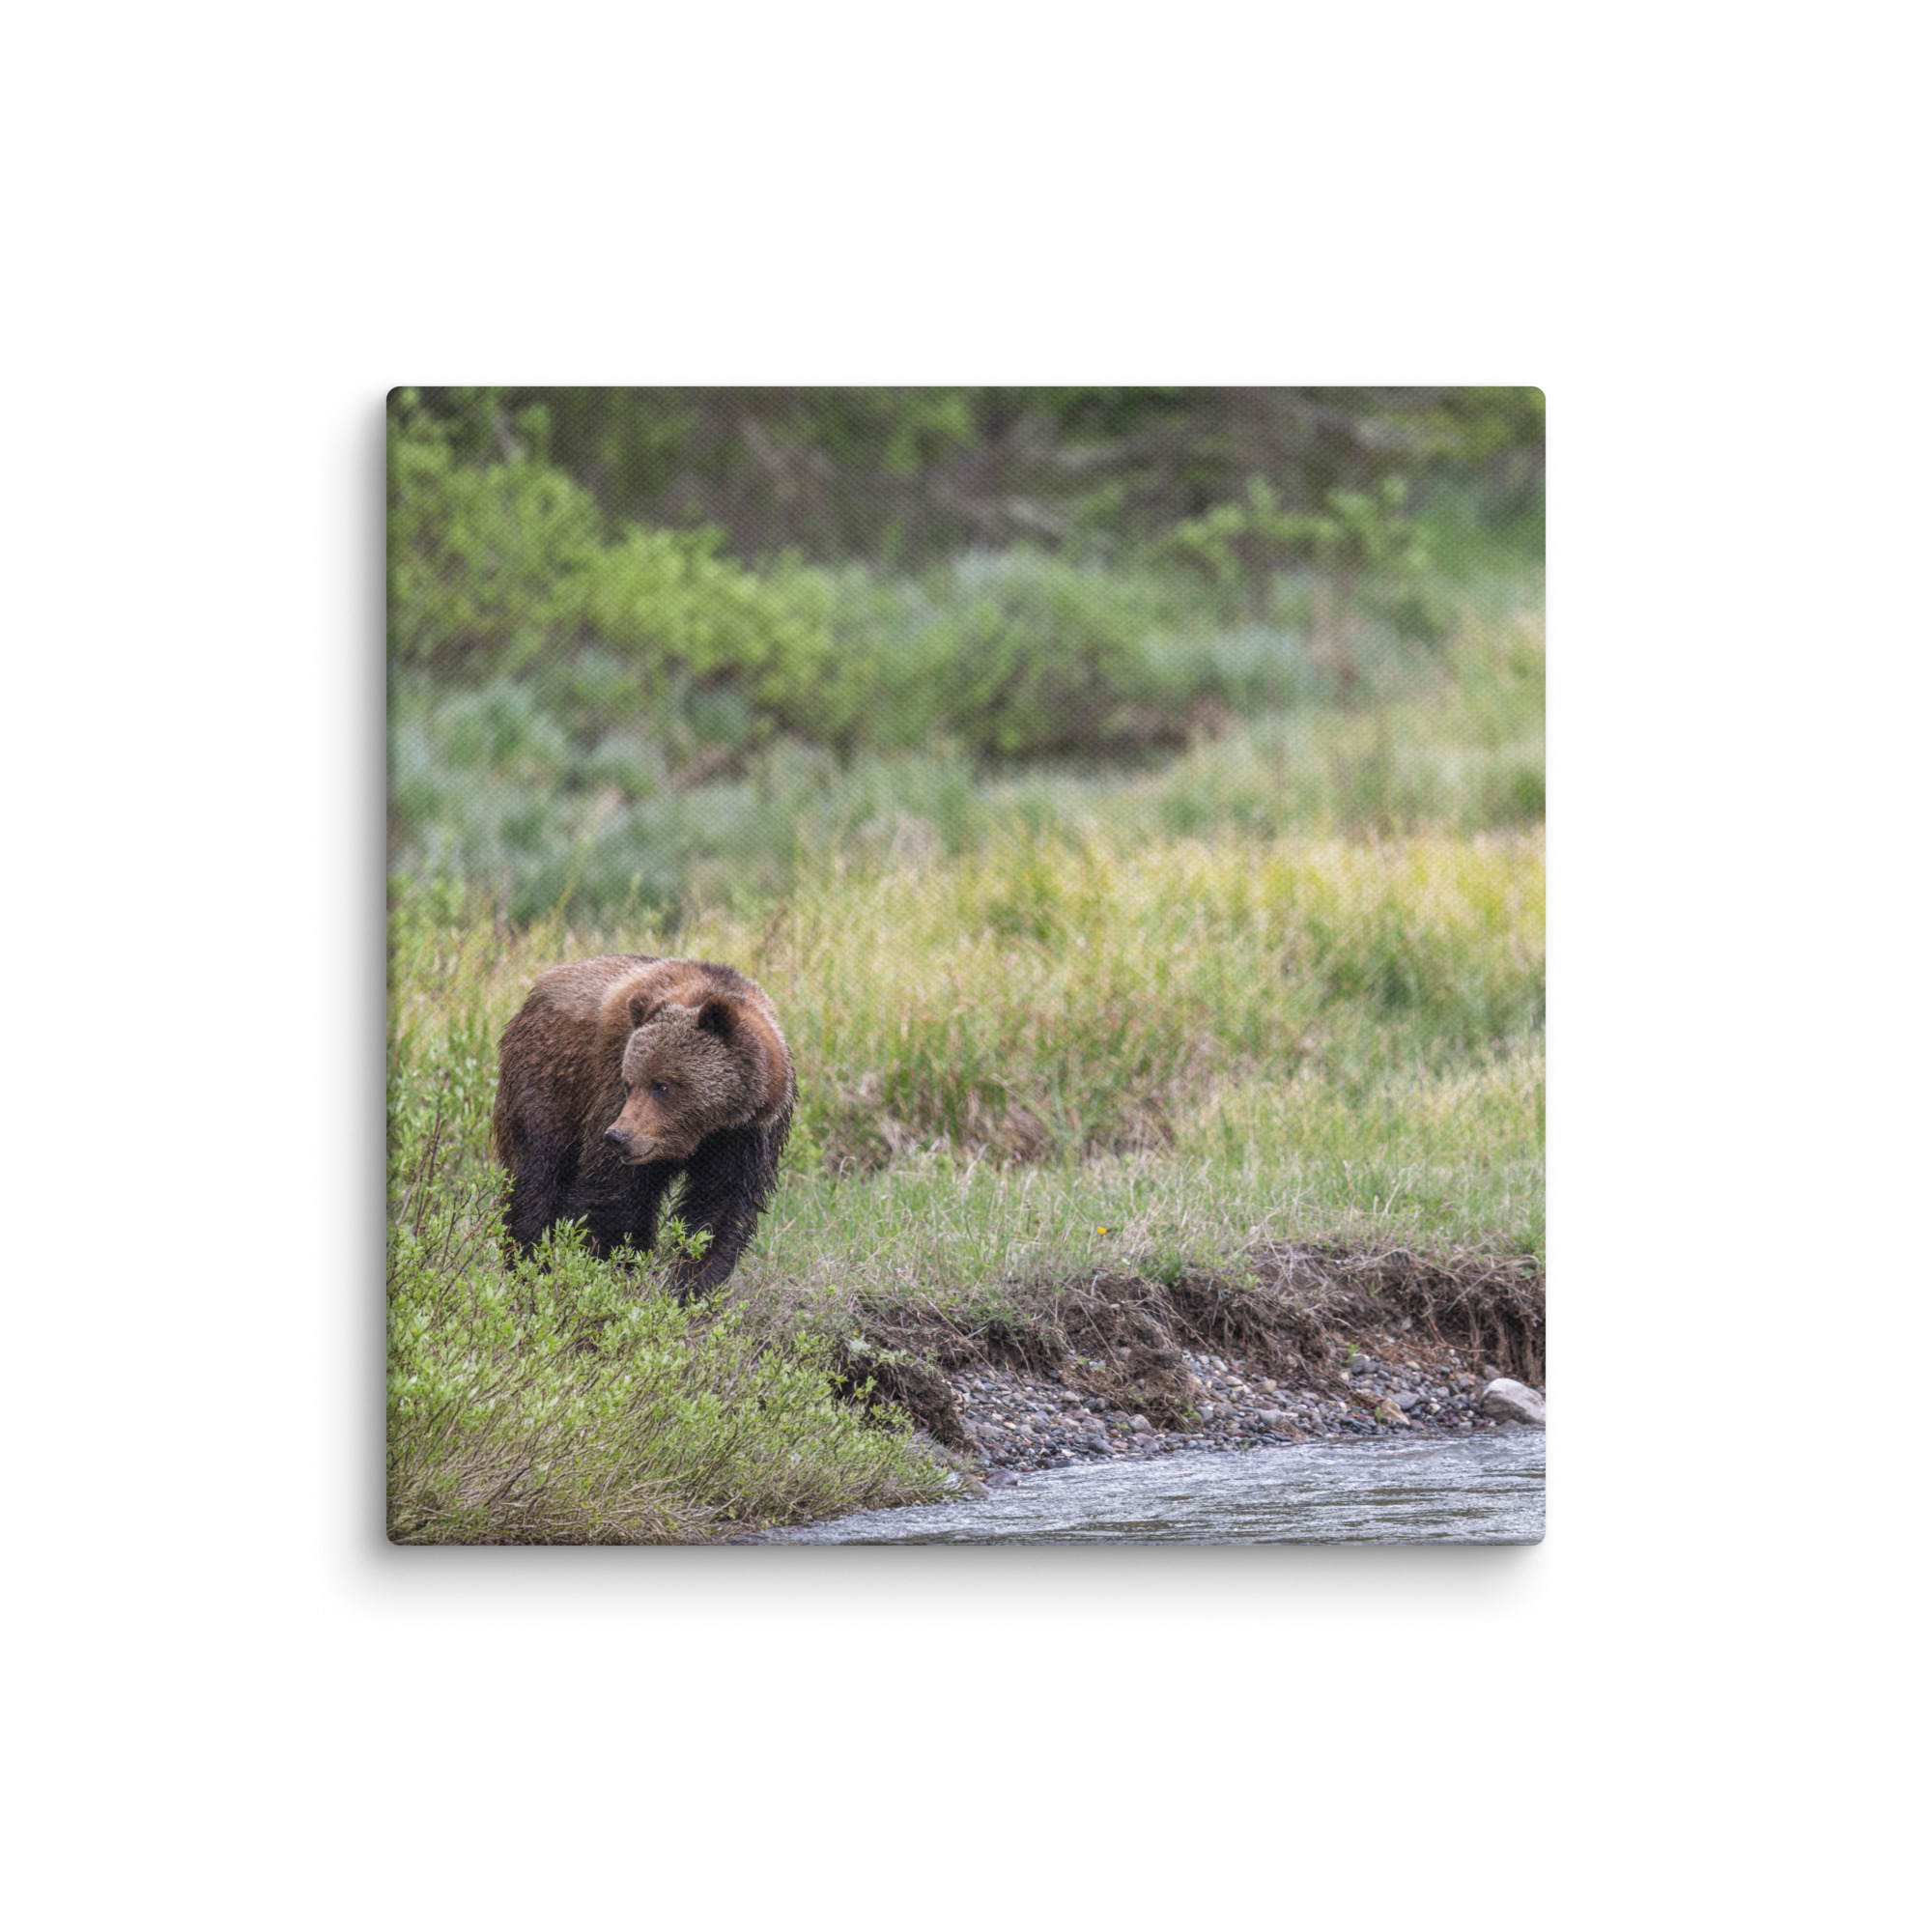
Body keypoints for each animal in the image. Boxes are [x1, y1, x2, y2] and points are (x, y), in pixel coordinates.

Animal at [491, 954, 795, 1298]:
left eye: (662, 1085)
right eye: (629, 1083)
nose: (618, 1137)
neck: (705, 1129)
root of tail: (537, 990)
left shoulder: (746, 1136)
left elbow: (719, 1209)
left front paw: (692, 1286)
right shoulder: (610, 1088)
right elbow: (614, 1197)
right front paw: (610, 1270)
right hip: (549, 1083)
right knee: (537, 1177)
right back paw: (527, 1266)